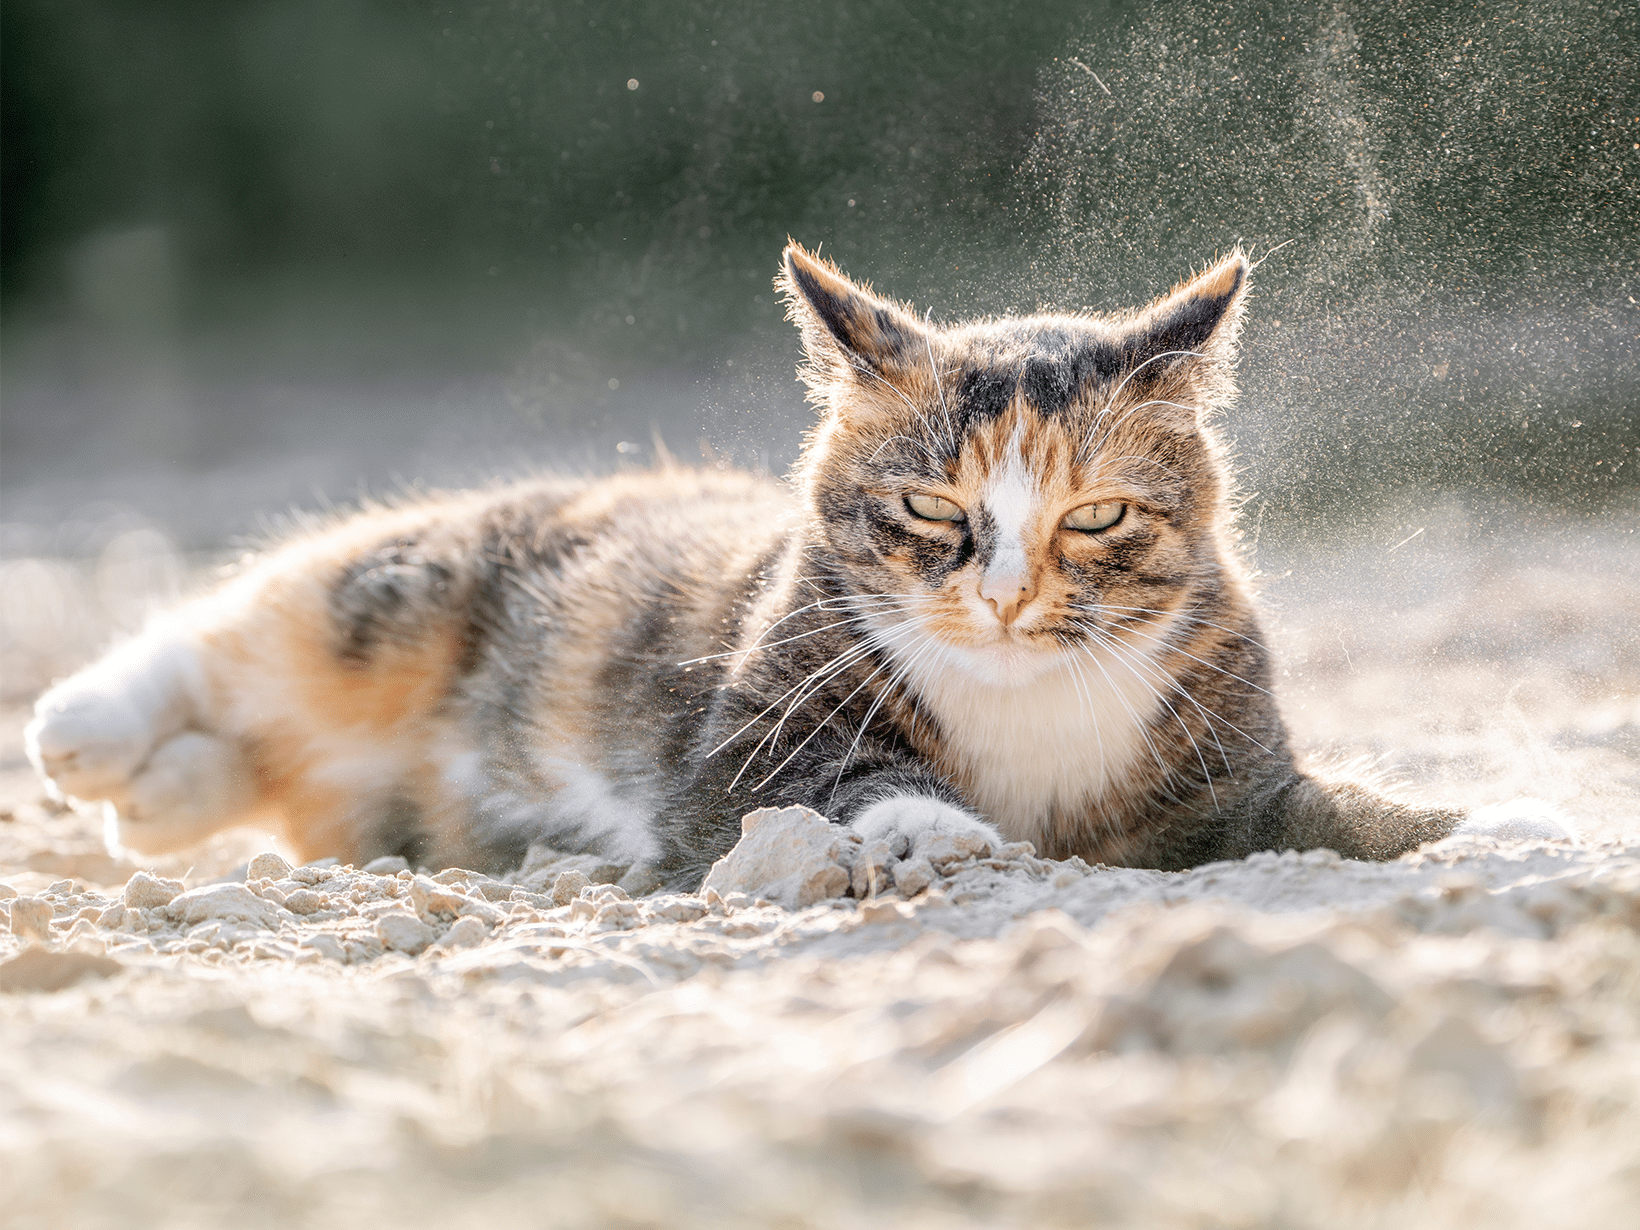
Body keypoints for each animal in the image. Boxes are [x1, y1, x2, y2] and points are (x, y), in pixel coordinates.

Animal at [22, 246, 1561, 892]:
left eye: (1095, 520)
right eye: (931, 507)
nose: (1003, 596)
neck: (1028, 701)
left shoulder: (1232, 763)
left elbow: (1323, 809)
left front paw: (1490, 823)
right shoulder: (746, 741)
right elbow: (836, 781)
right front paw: (937, 828)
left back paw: (166, 795)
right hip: (423, 585)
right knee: (254, 621)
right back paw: (92, 729)